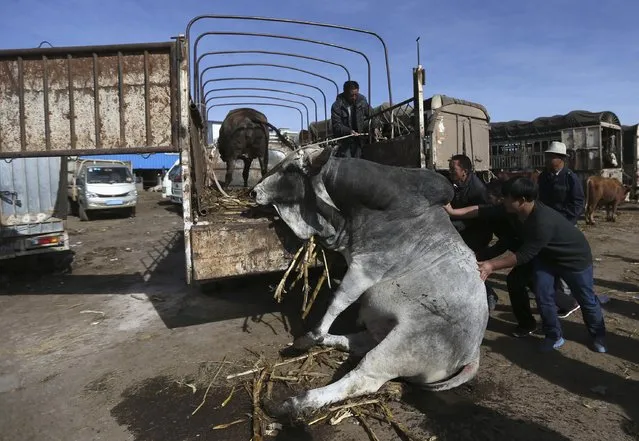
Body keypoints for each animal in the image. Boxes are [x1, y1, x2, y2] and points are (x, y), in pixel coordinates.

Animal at [251, 147, 490, 420]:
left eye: (290, 168)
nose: (254, 191)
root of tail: (473, 353)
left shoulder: (366, 268)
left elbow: (338, 300)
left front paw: (314, 334)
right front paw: (312, 337)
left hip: (401, 346)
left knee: (362, 378)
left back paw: (294, 403)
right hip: (382, 335)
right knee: (357, 344)